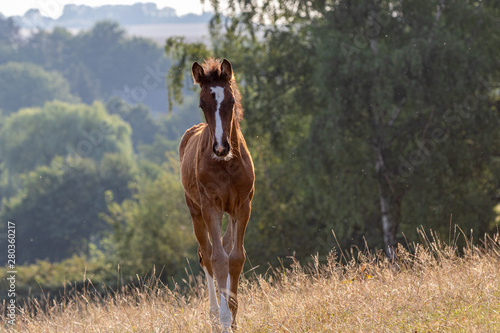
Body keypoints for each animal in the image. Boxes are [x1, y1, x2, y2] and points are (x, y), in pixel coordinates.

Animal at [179, 58, 254, 330]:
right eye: (202, 104)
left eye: (231, 101)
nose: (221, 147)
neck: (226, 165)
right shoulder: (211, 206)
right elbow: (219, 259)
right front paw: (223, 320)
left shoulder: (243, 206)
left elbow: (236, 258)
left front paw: (233, 315)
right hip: (196, 212)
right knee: (207, 255)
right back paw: (213, 314)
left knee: (225, 248)